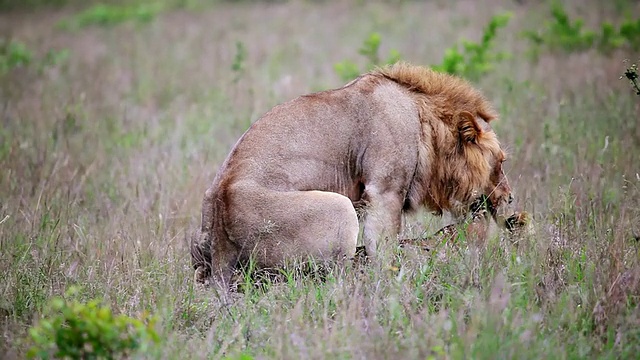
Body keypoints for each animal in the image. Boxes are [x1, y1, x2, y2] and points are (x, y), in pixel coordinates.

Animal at [192, 62, 512, 286]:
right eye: (500, 162)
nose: (510, 198)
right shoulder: (384, 191)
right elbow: (383, 250)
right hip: (338, 207)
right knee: (338, 277)